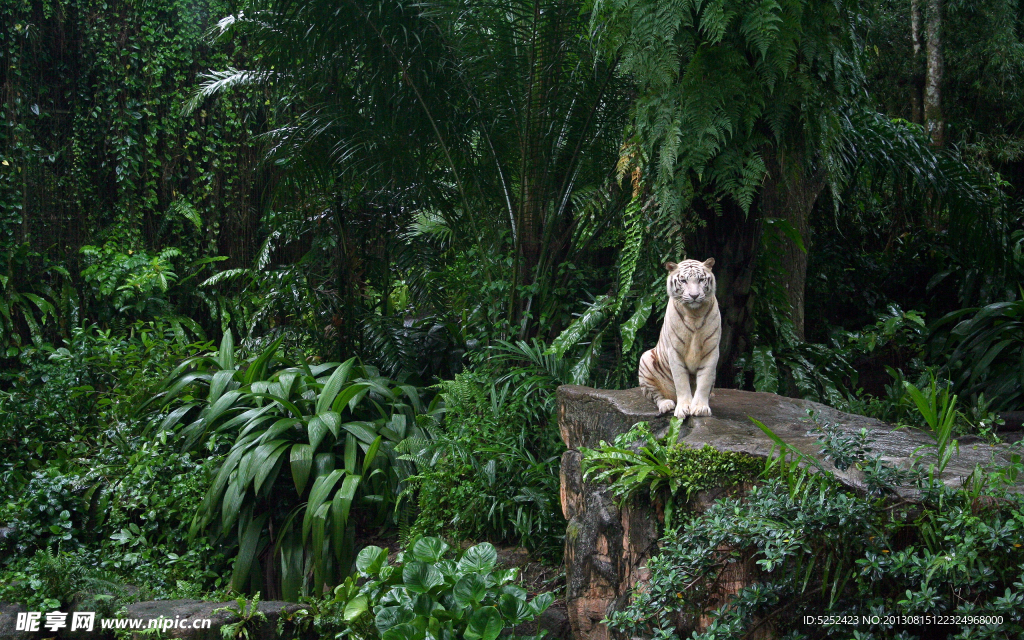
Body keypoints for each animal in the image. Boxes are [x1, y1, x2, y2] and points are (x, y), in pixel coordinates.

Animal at [634, 258, 724, 419]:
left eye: (701, 280)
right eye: (683, 281)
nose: (694, 295)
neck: (694, 314)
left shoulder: (711, 350)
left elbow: (705, 381)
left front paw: (700, 408)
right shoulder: (675, 351)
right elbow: (681, 382)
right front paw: (684, 408)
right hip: (645, 359)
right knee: (656, 395)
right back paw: (666, 404)